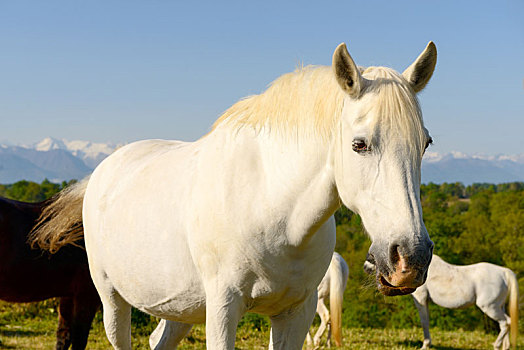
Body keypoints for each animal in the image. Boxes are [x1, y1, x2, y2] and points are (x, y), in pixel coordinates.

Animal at [30, 39, 436, 348]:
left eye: (426, 144)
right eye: (359, 144)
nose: (410, 259)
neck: (273, 208)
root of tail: (103, 171)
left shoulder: (295, 311)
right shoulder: (224, 308)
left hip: (181, 309)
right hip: (112, 299)